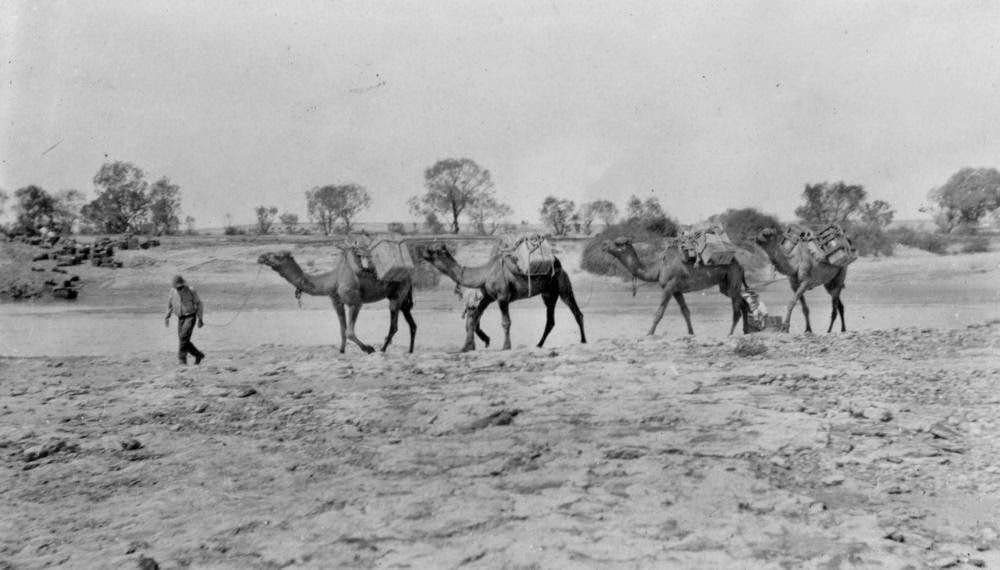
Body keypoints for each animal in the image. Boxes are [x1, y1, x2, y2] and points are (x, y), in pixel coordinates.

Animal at [258, 251, 418, 352]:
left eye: (277, 255)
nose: (261, 257)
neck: (333, 280)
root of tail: (410, 275)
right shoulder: (337, 302)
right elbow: (342, 330)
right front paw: (341, 351)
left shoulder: (355, 302)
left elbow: (349, 332)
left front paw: (368, 349)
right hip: (401, 297)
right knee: (412, 323)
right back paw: (410, 351)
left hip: (398, 293)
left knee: (394, 324)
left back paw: (383, 349)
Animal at [416, 241, 584, 350]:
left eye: (432, 250)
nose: (420, 250)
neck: (485, 273)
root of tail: (558, 264)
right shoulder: (488, 297)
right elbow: (473, 318)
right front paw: (466, 347)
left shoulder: (502, 297)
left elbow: (505, 322)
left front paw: (506, 346)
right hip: (548, 294)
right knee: (553, 319)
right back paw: (539, 344)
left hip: (562, 286)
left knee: (575, 312)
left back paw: (583, 341)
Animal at [600, 237, 752, 336]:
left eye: (617, 243)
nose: (604, 244)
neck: (658, 267)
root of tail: (741, 266)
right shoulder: (676, 290)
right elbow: (685, 311)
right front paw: (691, 333)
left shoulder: (669, 286)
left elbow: (659, 312)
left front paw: (649, 333)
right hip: (725, 284)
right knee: (743, 303)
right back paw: (746, 331)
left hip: (733, 277)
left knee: (737, 309)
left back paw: (730, 333)